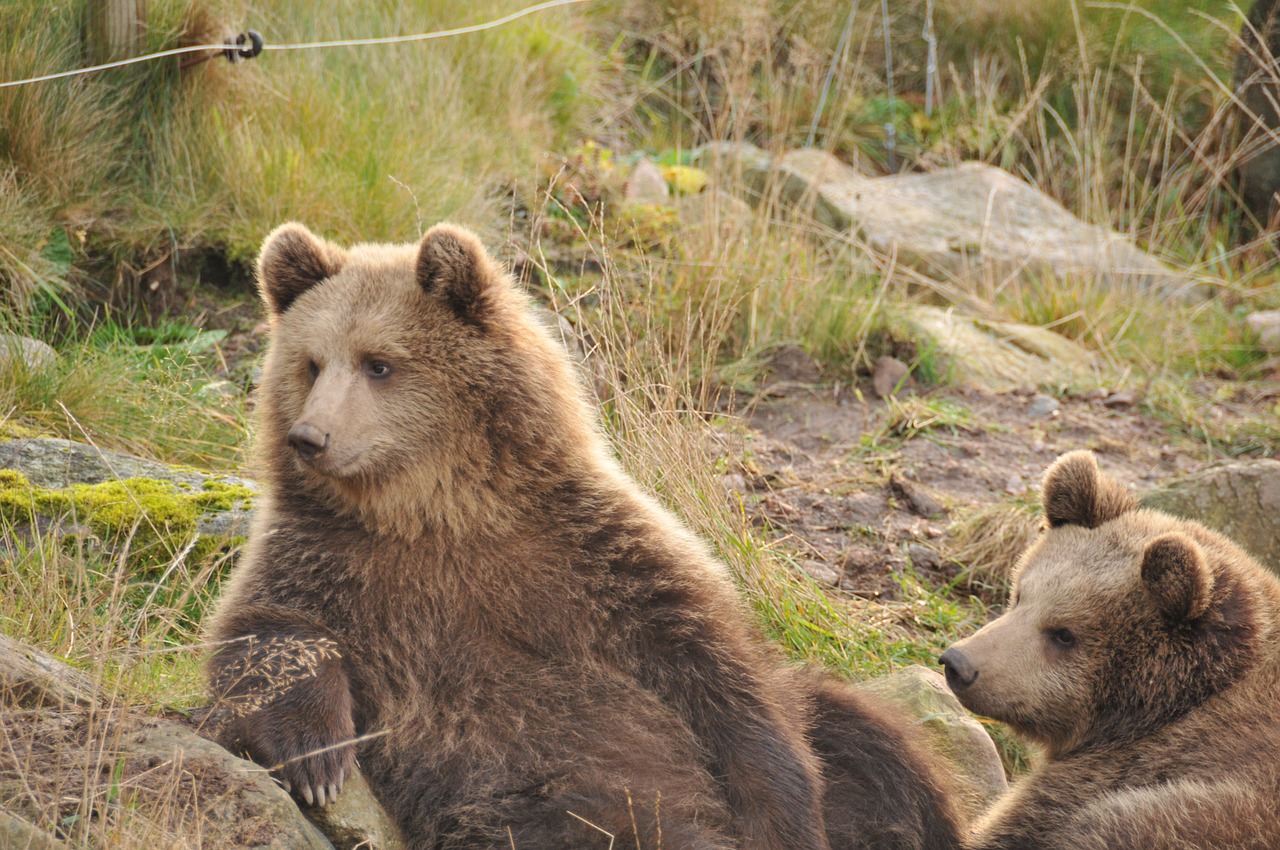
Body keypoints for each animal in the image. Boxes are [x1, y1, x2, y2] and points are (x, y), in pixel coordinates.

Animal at [202, 224, 962, 850]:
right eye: (310, 363)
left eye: (378, 363)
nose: (311, 437)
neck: (436, 512)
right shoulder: (336, 561)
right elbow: (267, 632)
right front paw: (316, 756)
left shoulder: (595, 558)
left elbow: (727, 688)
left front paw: (783, 820)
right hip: (523, 803)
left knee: (868, 741)